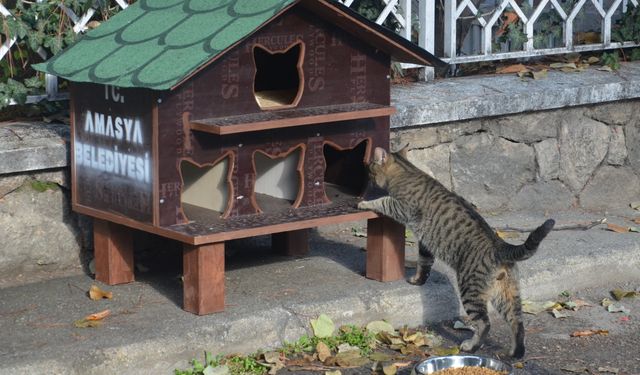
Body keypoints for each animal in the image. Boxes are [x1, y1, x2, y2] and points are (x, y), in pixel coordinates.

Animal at [358, 146, 552, 358]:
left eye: (370, 167)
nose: (366, 177)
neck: (407, 170)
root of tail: (500, 245)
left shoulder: (401, 207)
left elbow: (383, 201)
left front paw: (364, 203)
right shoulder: (425, 243)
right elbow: (424, 263)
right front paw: (418, 280)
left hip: (470, 289)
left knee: (484, 323)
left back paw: (471, 346)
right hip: (507, 295)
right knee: (518, 322)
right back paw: (516, 352)